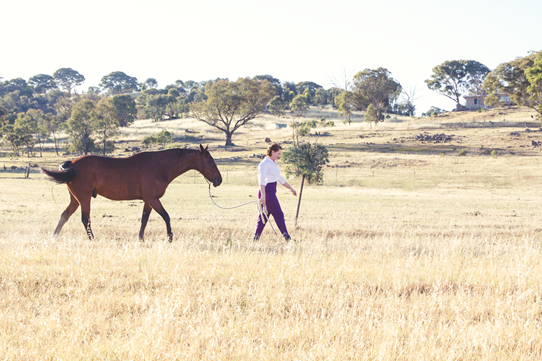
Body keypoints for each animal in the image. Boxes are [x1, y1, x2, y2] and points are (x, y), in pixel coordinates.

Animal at [39, 144, 223, 242]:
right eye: (211, 162)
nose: (219, 180)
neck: (160, 166)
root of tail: (72, 164)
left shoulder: (148, 201)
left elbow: (144, 220)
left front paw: (140, 239)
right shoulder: (153, 199)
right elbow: (166, 216)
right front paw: (170, 237)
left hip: (75, 199)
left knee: (64, 215)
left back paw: (54, 237)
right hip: (84, 198)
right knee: (85, 220)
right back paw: (92, 239)